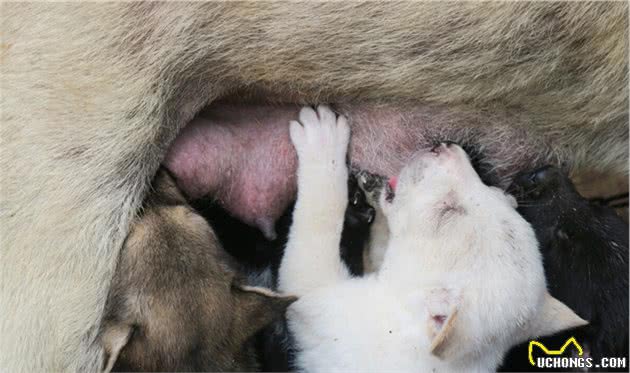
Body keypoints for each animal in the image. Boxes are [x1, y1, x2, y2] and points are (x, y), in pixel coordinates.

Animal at [282, 105, 588, 372]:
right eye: (500, 196)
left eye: (445, 212)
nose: (446, 144)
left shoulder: (318, 297)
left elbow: (320, 218)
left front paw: (323, 141)